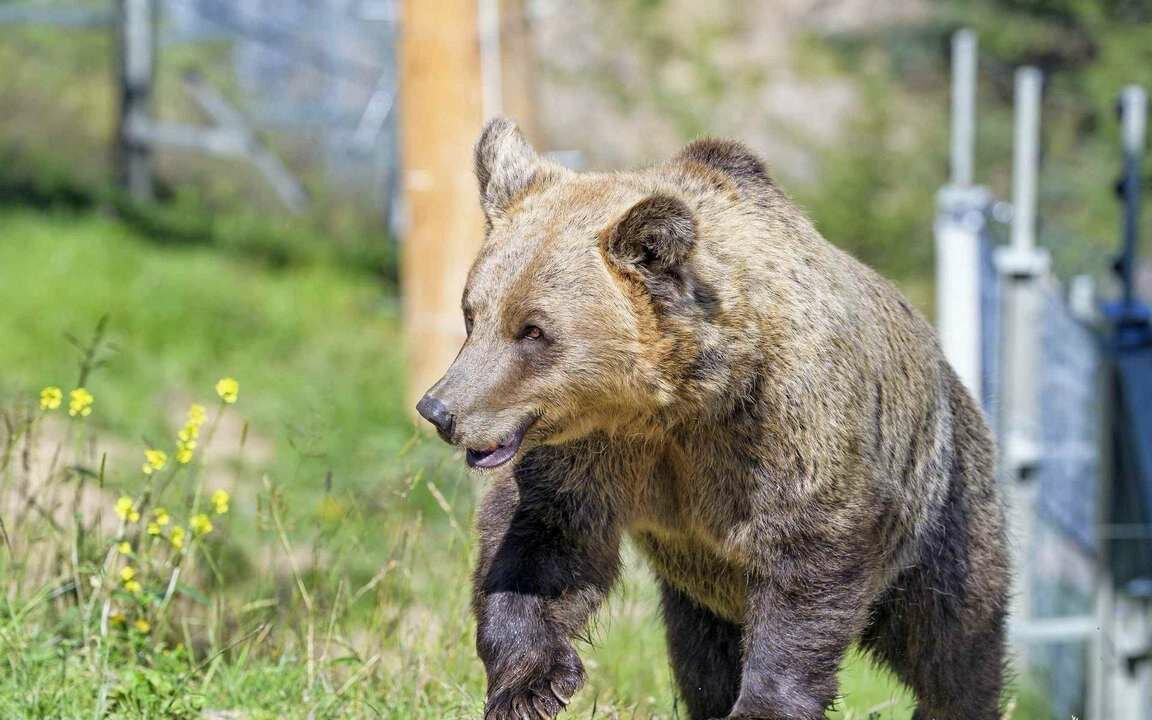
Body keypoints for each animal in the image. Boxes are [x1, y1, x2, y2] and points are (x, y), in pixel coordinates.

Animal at [417, 118, 1009, 718]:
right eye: (473, 314)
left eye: (533, 330)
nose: (440, 409)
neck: (680, 403)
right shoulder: (598, 451)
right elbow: (541, 540)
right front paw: (529, 685)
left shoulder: (787, 432)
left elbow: (805, 567)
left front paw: (765, 704)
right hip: (698, 595)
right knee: (701, 656)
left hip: (942, 512)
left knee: (952, 642)